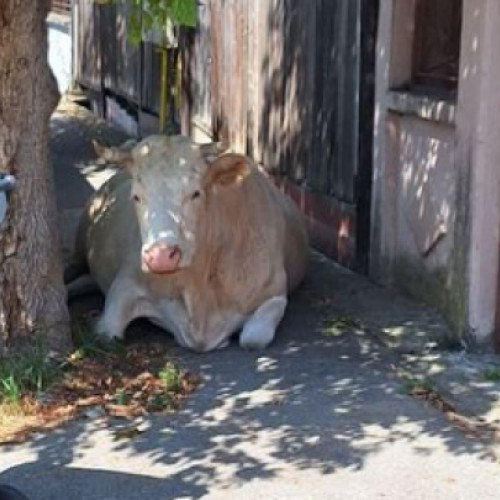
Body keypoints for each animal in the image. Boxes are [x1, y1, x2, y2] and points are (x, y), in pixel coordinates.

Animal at [68, 134, 306, 352]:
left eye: (195, 193)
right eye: (136, 197)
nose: (161, 257)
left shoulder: (274, 293)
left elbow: (254, 340)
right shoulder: (125, 283)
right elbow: (107, 333)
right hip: (80, 247)